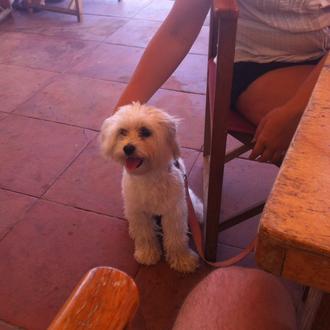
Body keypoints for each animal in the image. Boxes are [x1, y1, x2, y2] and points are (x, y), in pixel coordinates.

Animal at [100, 102, 204, 272]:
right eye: (122, 132)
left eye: (145, 132)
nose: (128, 148)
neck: (148, 176)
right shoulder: (138, 212)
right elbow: (144, 234)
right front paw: (147, 254)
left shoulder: (174, 212)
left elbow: (176, 238)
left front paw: (182, 259)